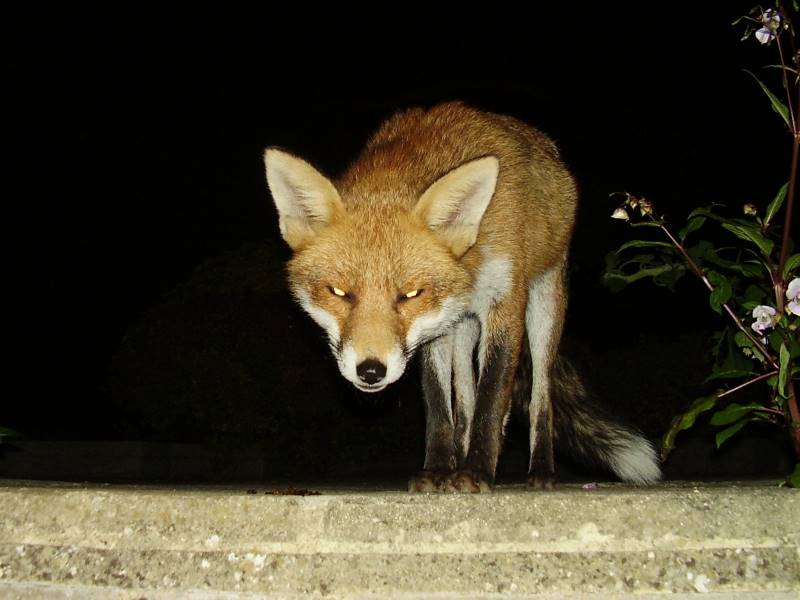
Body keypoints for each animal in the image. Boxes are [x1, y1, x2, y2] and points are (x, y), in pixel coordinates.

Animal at [263, 102, 661, 492]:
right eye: (339, 292)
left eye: (410, 294)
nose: (371, 371)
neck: (469, 267)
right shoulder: (435, 327)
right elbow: (442, 404)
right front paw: (440, 469)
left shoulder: (505, 304)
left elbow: (492, 397)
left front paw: (478, 471)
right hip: (463, 329)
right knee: (466, 399)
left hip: (543, 308)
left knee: (539, 398)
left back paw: (541, 471)